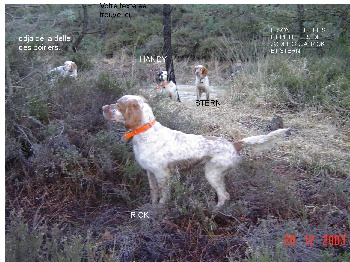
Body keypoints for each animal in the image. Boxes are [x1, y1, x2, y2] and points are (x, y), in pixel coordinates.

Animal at [102, 95, 290, 208]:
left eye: (118, 105)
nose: (103, 107)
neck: (146, 132)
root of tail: (234, 144)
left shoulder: (162, 175)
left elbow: (163, 196)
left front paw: (160, 210)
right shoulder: (150, 173)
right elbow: (154, 193)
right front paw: (152, 207)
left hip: (212, 173)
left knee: (224, 196)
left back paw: (213, 211)